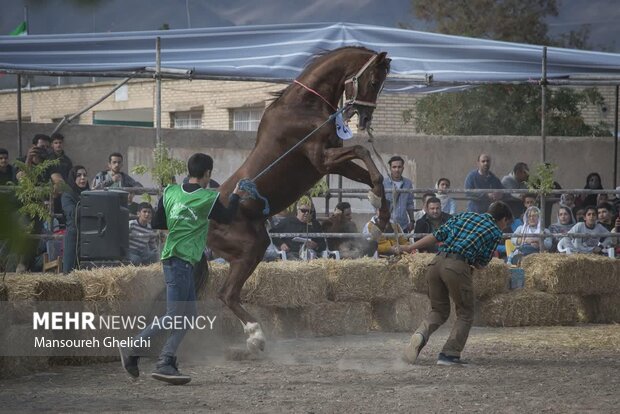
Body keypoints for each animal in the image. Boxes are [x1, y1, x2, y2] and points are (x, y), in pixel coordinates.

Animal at [208, 47, 392, 352]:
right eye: (375, 80)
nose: (365, 119)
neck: (303, 107)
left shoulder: (332, 163)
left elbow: (369, 174)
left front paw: (380, 217)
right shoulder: (322, 158)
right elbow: (363, 152)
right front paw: (376, 199)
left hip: (253, 248)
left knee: (227, 293)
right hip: (250, 249)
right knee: (226, 294)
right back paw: (256, 335)